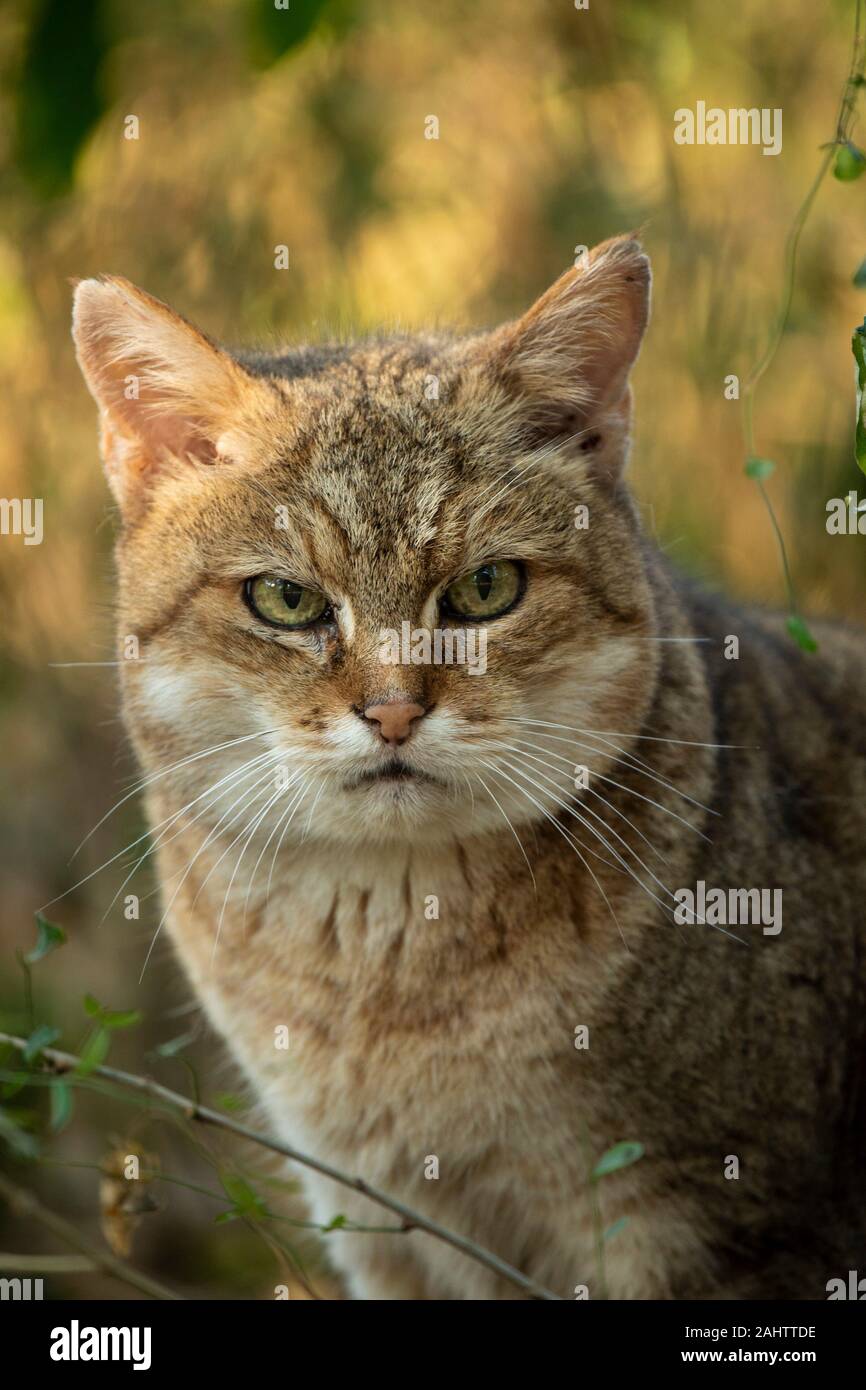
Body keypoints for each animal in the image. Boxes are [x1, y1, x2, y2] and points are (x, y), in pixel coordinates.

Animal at [72, 233, 866, 1295]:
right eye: (286, 600)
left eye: (487, 589)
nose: (394, 711)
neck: (390, 970)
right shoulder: (388, 1232)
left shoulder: (714, 1227)